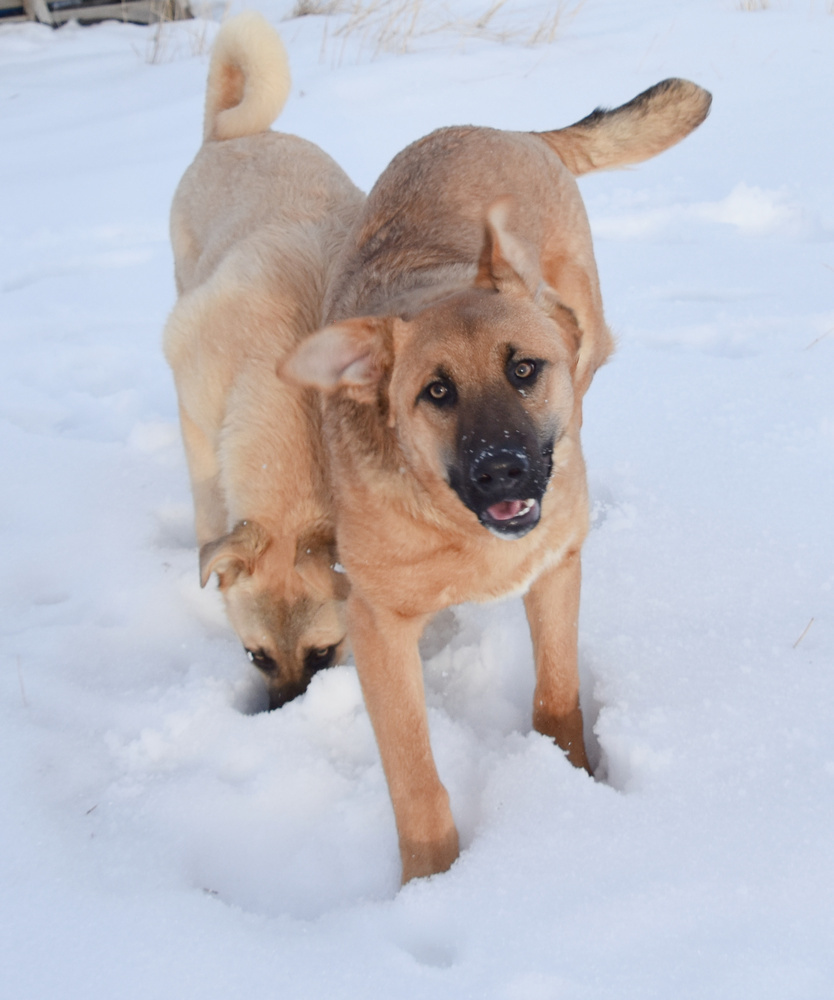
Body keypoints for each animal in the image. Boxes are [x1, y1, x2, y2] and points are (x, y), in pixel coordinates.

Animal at [166, 9, 364, 712]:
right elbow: (206, 500)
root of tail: (228, 134)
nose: (280, 719)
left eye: (325, 654)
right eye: (256, 657)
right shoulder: (195, 411)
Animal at [284, 78, 708, 880]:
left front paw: (571, 782)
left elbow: (556, 695)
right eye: (436, 392)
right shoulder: (378, 628)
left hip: (588, 333)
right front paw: (433, 882)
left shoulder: (555, 572)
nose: (501, 469)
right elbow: (415, 778)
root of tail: (507, 130)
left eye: (523, 370)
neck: (460, 529)